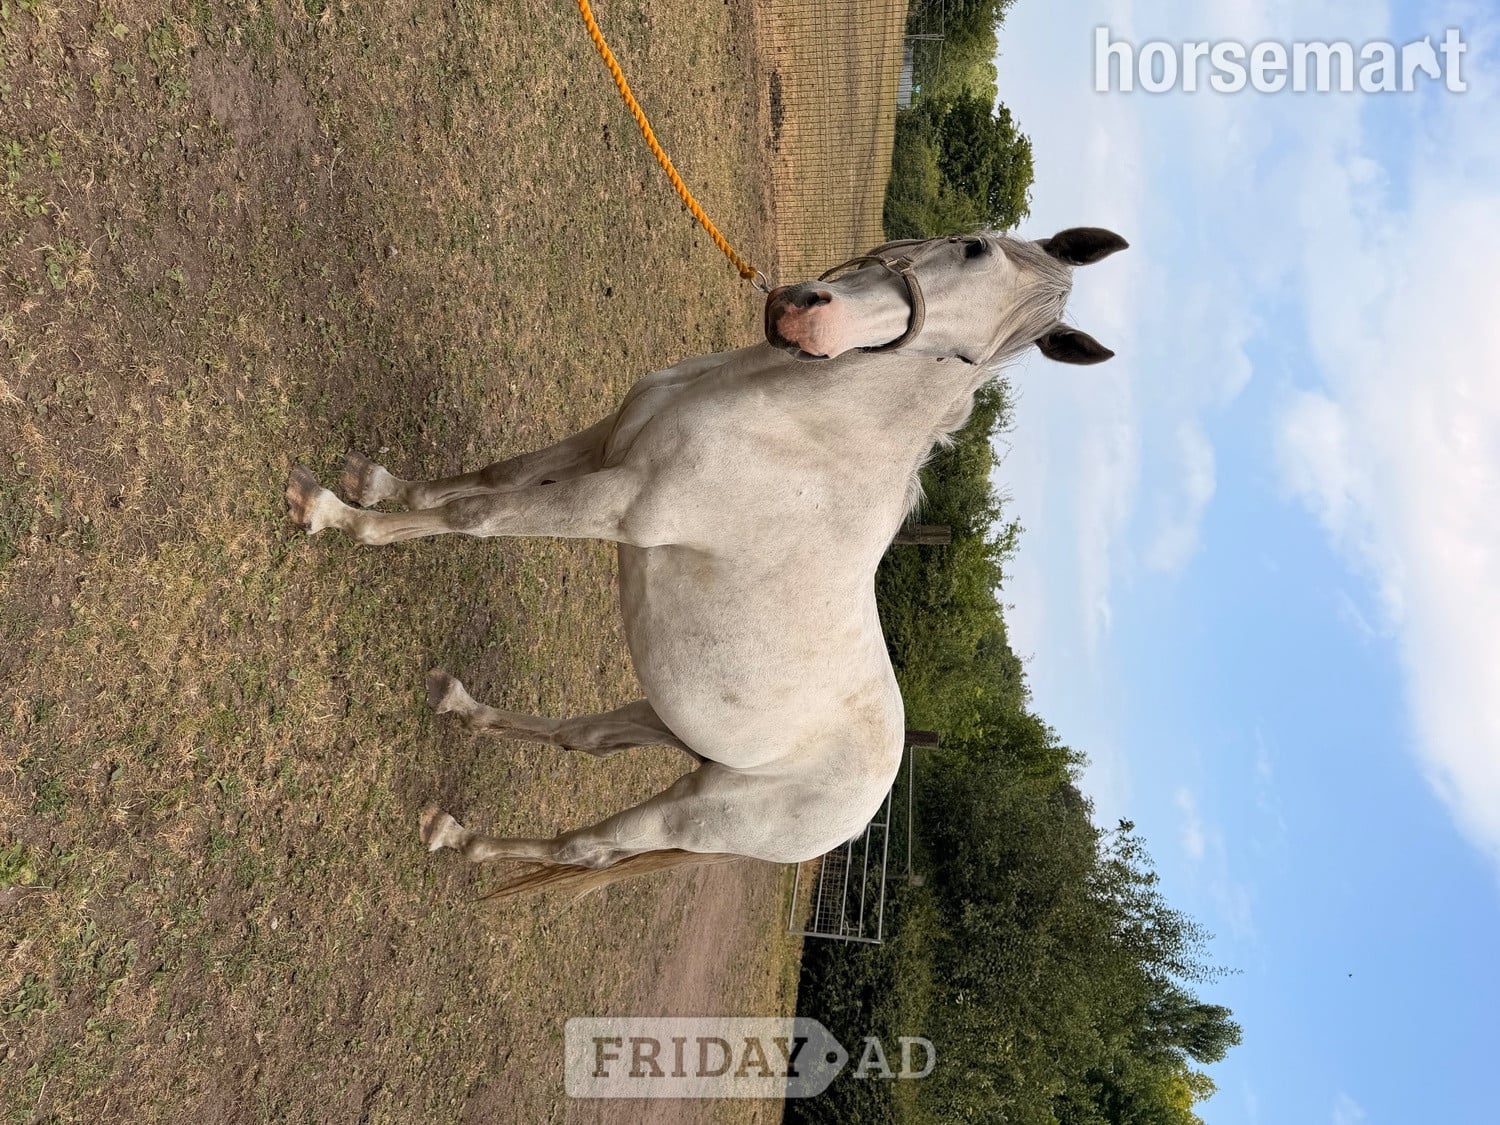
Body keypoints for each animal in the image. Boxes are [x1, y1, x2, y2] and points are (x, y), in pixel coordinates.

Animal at [284, 226, 1127, 897]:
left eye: (964, 357)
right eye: (972, 245)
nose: (806, 314)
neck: (799, 427)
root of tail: (864, 811)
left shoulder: (618, 503)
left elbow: (475, 516)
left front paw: (334, 513)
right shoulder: (601, 444)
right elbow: (492, 476)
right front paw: (377, 483)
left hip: (691, 816)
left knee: (588, 848)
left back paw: (460, 836)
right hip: (669, 723)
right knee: (585, 740)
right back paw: (457, 708)